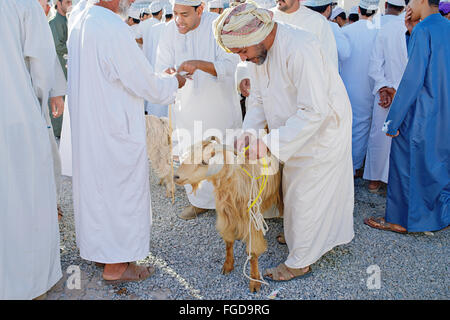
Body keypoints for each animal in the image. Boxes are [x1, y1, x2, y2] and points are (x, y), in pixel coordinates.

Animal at [172, 136, 282, 292]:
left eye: (204, 162)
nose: (176, 176)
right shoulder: (226, 217)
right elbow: (228, 243)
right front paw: (227, 266)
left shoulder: (251, 222)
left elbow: (253, 252)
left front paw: (254, 281)